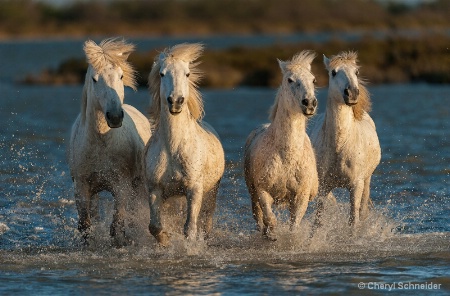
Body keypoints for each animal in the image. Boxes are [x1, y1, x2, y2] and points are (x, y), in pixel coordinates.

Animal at [67, 38, 151, 246]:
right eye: (94, 79)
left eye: (121, 76)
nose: (114, 117)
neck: (102, 143)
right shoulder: (81, 187)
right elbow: (85, 226)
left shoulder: (122, 186)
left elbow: (117, 225)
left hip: (138, 187)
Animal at [145, 42, 225, 245]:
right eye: (162, 74)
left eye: (187, 74)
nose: (175, 101)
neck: (173, 148)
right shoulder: (155, 189)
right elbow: (154, 226)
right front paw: (165, 241)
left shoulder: (194, 189)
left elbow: (190, 228)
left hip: (211, 192)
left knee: (206, 221)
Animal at [244, 51, 318, 240]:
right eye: (290, 80)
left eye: (313, 80)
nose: (309, 103)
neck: (287, 156)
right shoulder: (263, 192)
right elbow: (270, 220)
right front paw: (271, 236)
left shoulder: (301, 196)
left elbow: (294, 226)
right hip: (253, 194)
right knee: (258, 218)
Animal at [312, 51, 382, 227]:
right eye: (333, 72)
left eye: (356, 72)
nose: (352, 93)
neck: (340, 144)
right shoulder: (323, 187)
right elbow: (317, 222)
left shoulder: (356, 185)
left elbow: (353, 221)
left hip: (367, 180)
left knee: (362, 210)